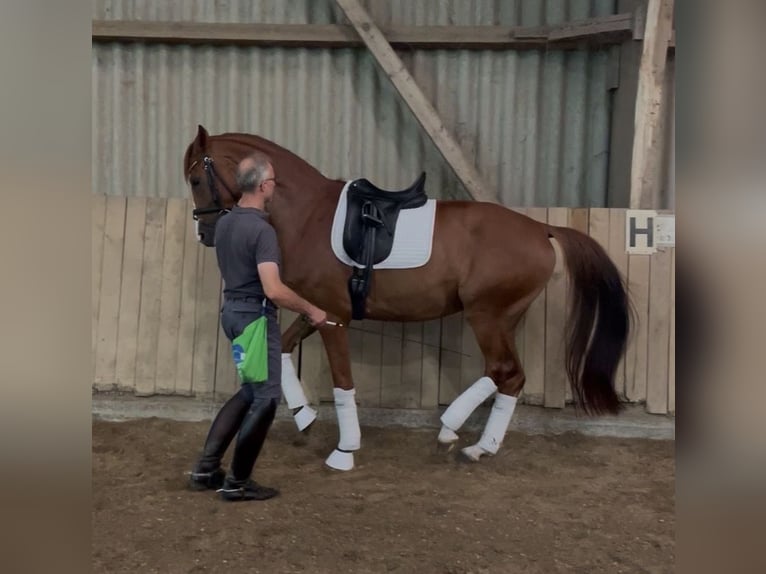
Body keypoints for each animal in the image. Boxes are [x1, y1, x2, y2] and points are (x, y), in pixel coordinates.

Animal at [182, 125, 631, 471]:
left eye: (195, 180)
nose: (204, 235)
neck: (307, 216)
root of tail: (541, 229)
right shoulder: (315, 312)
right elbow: (288, 353)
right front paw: (305, 417)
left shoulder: (333, 317)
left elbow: (343, 382)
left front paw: (345, 450)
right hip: (505, 318)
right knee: (509, 375)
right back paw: (471, 442)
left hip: (486, 315)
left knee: (505, 370)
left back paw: (456, 432)